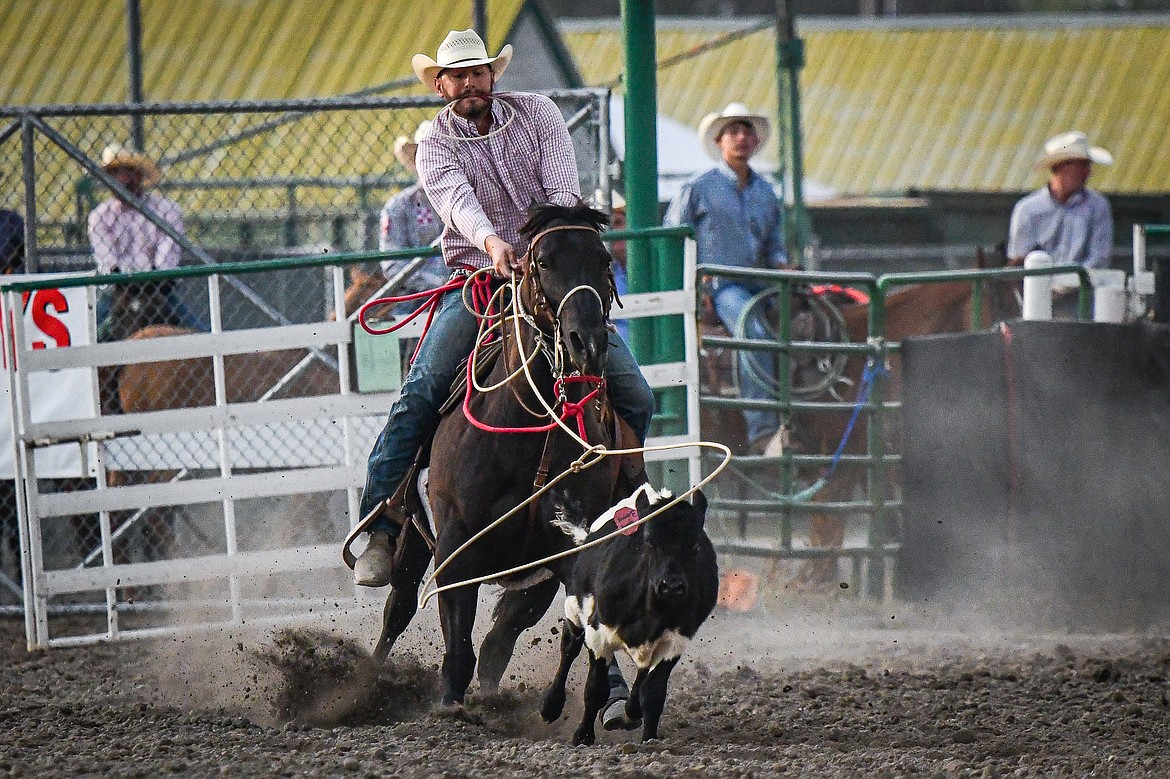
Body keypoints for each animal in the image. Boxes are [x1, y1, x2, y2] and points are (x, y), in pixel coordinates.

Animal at [540, 481, 720, 743]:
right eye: (648, 541)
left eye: (695, 545)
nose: (671, 586)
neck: (651, 611)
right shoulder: (598, 633)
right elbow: (595, 689)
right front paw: (583, 736)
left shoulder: (675, 641)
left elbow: (652, 694)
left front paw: (648, 737)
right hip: (574, 605)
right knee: (569, 648)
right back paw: (550, 705)